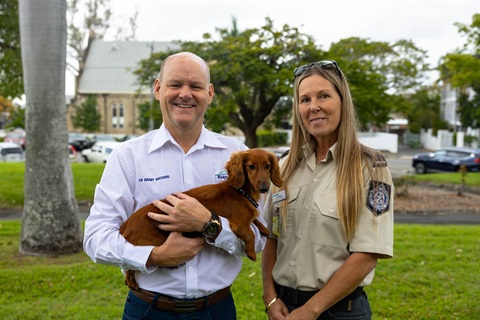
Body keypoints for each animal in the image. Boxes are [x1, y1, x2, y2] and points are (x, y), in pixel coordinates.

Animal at [119, 149, 282, 292]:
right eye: (251, 166)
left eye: (267, 166)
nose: (264, 188)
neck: (241, 192)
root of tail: (124, 226)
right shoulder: (239, 224)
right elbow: (250, 233)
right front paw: (251, 251)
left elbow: (254, 220)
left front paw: (264, 228)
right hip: (154, 241)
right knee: (130, 267)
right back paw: (133, 281)